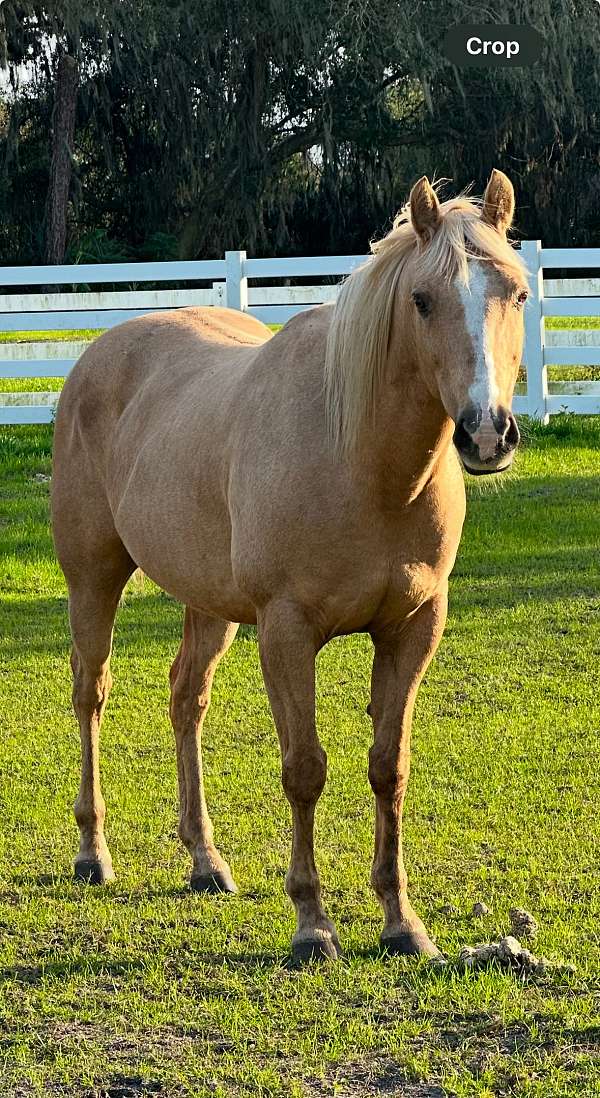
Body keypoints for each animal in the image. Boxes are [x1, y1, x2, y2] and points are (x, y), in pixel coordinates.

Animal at [53, 169, 525, 961]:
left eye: (517, 292)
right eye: (422, 300)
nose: (486, 433)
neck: (362, 463)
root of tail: (98, 353)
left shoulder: (413, 628)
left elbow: (388, 767)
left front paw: (402, 922)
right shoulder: (286, 630)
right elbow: (305, 770)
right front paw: (312, 923)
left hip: (208, 603)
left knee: (186, 700)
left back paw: (205, 860)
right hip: (93, 575)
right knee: (92, 695)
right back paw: (93, 852)